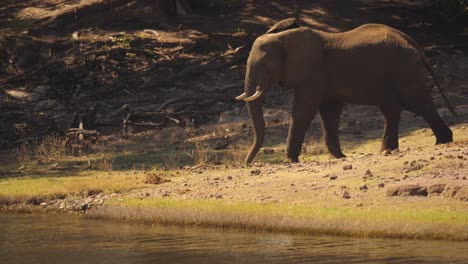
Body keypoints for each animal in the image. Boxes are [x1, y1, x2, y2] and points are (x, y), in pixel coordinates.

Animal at [236, 20, 456, 165]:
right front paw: (340, 157)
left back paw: (443, 141)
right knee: (391, 109)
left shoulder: (313, 73)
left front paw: (290, 160)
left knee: (418, 103)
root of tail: (414, 44)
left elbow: (303, 112)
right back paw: (388, 150)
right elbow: (329, 112)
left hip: (404, 70)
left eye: (264, 65)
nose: (248, 164)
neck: (284, 37)